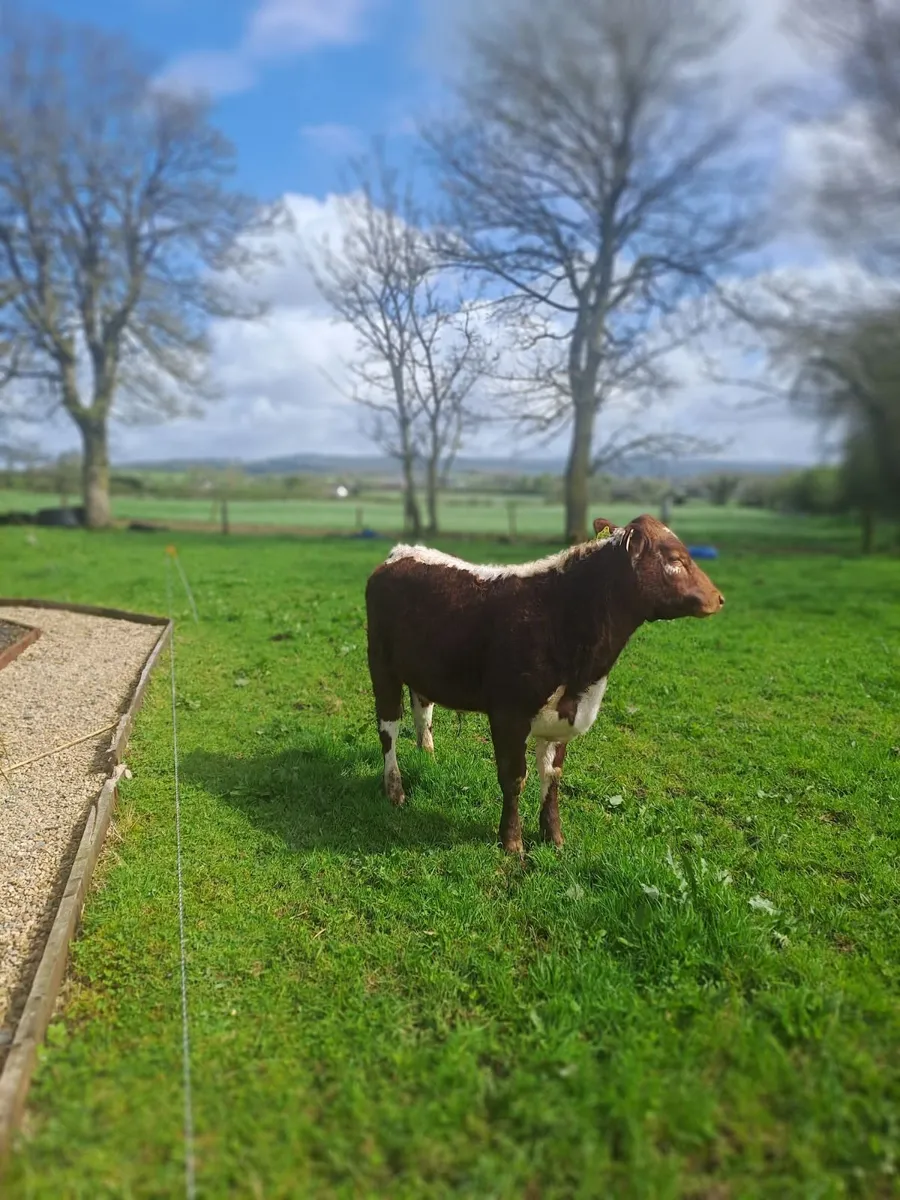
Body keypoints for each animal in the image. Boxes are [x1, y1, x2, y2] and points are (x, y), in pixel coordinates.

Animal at [364, 514, 724, 853]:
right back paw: (394, 789)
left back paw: (427, 756)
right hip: (381, 666)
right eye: (676, 558)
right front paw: (512, 841)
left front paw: (553, 837)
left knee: (423, 709)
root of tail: (402, 553)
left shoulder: (561, 717)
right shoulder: (508, 714)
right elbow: (514, 778)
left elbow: (551, 777)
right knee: (388, 729)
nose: (718, 598)